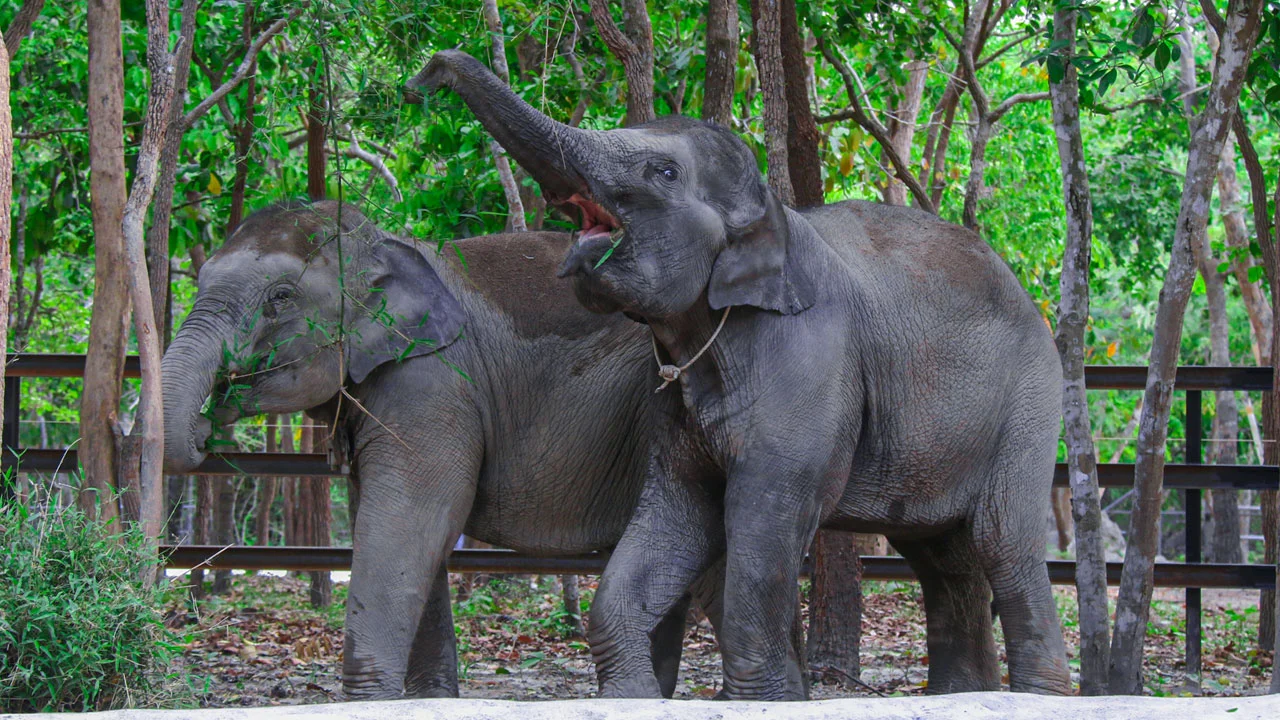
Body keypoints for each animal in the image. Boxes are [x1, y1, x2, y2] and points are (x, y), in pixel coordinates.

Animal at [160, 201, 763, 700]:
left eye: (280, 298)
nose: (208, 422)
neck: (386, 245)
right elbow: (402, 524)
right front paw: (426, 700)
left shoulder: (431, 383)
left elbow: (413, 515)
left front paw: (368, 702)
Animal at [414, 50, 1072, 700]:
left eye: (663, 172)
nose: (426, 75)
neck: (770, 211)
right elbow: (677, 512)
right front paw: (634, 697)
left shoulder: (808, 361)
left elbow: (765, 522)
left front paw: (758, 701)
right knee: (942, 556)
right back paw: (967, 693)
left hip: (1031, 401)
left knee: (1002, 540)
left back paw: (1037, 696)